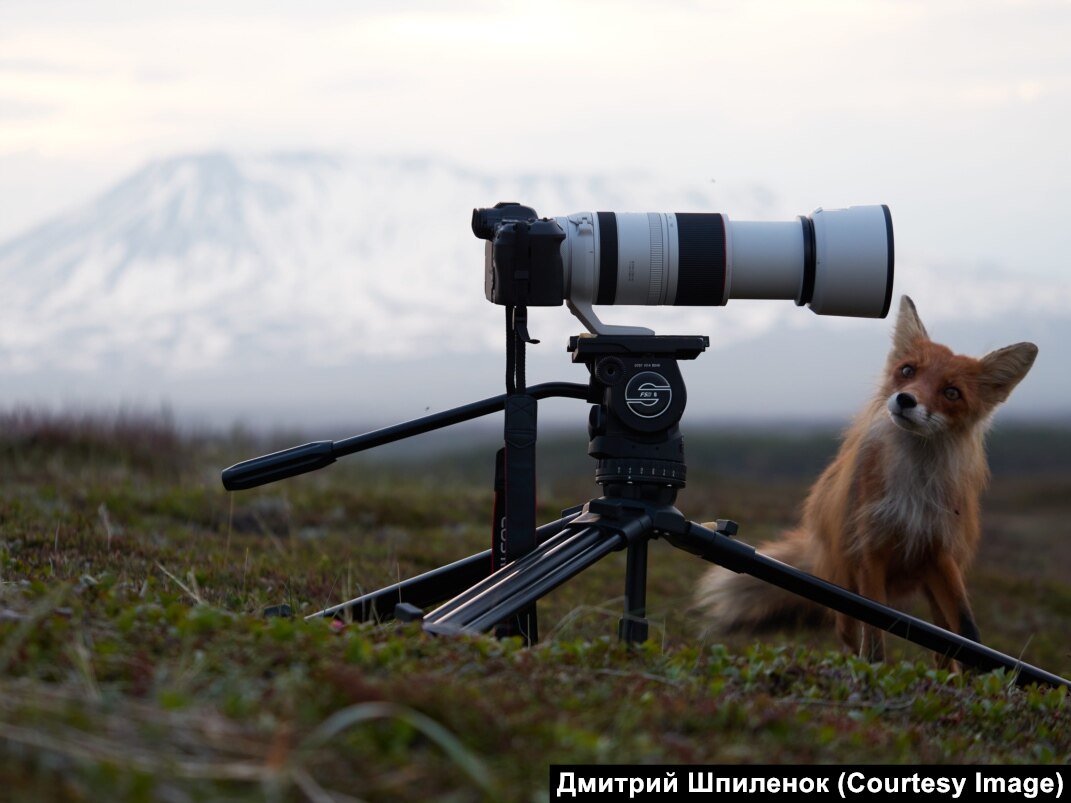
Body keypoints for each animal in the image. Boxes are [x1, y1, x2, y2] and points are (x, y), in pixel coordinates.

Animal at [694, 297, 1036, 668]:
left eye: (951, 392)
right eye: (907, 371)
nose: (906, 400)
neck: (913, 487)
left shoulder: (939, 552)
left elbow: (969, 631)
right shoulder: (871, 551)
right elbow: (873, 639)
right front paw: (872, 673)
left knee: (943, 648)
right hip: (847, 588)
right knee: (850, 634)